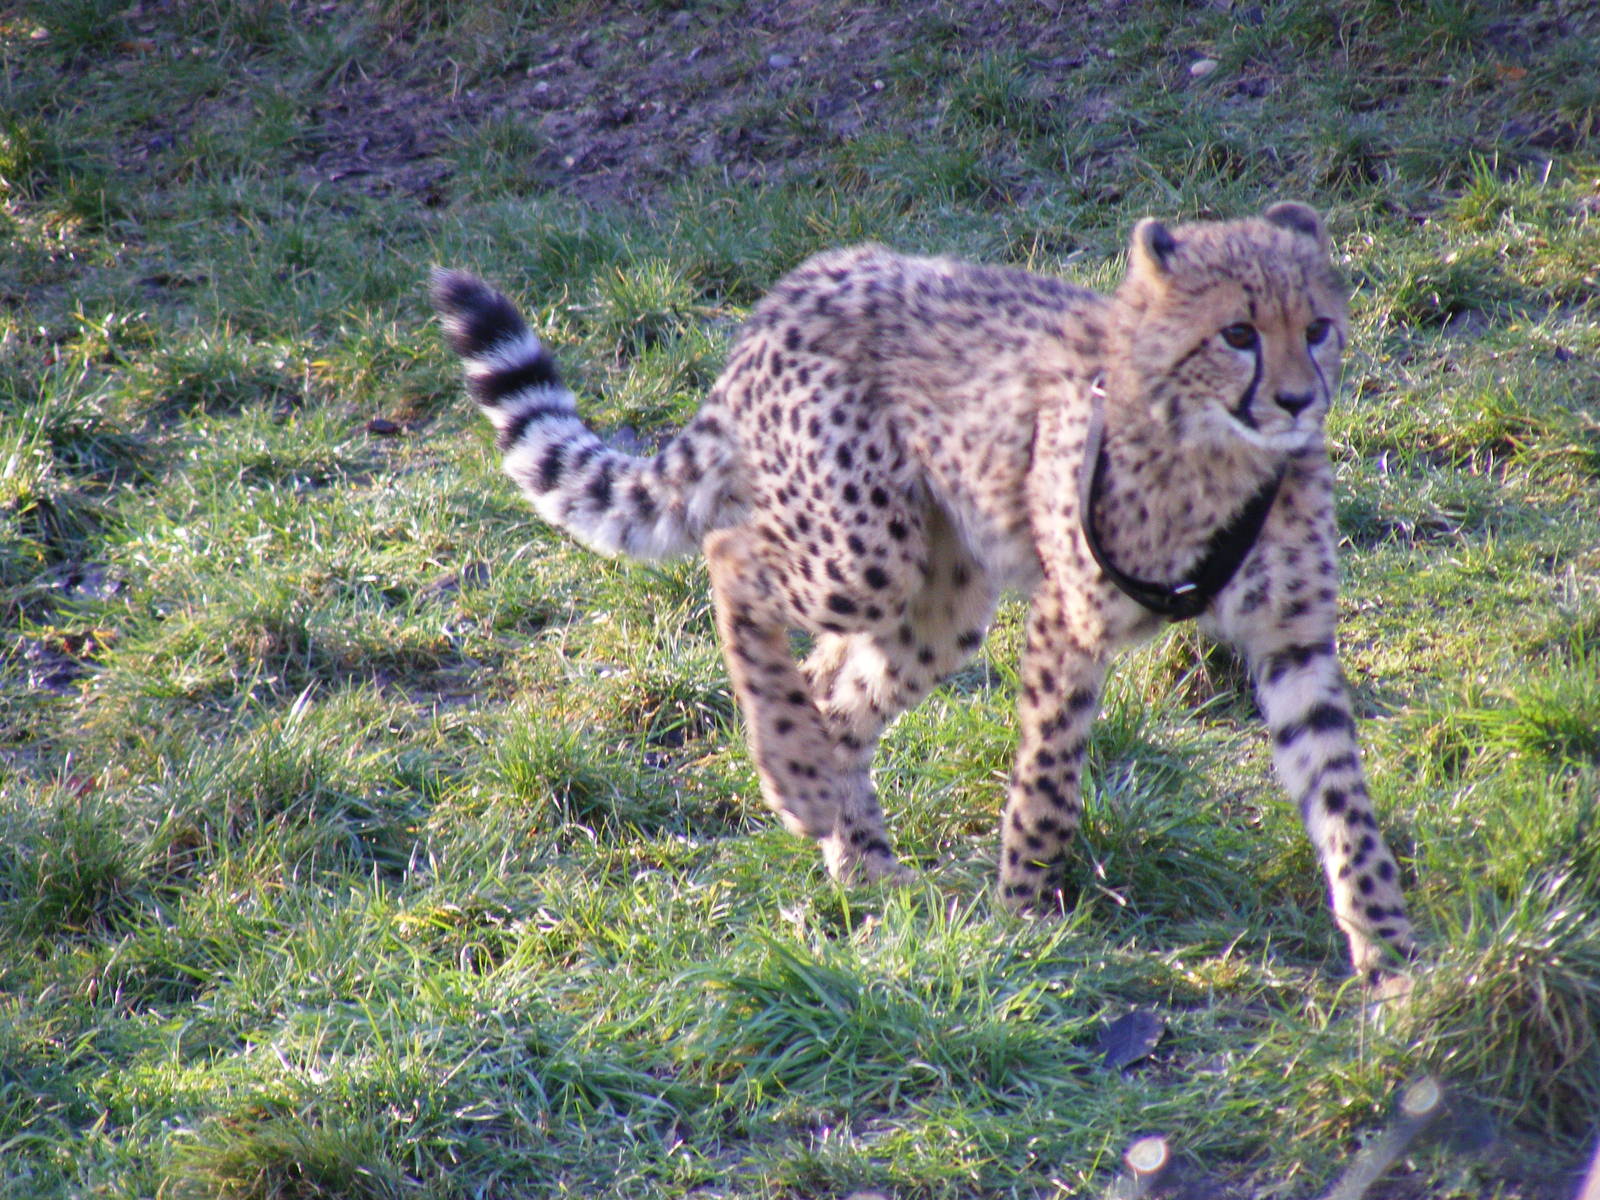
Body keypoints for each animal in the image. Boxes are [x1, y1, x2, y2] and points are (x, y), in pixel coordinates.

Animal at [431, 201, 1414, 984]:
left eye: (1318, 327)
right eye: (1238, 334)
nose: (1296, 400)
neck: (1213, 447)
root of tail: (801, 279)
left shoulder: (1294, 643)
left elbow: (1345, 806)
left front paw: (1391, 965)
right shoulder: (1070, 623)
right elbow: (1048, 783)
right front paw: (1025, 916)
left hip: (941, 598)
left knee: (834, 691)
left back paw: (854, 849)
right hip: (861, 551)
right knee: (731, 554)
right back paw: (795, 778)